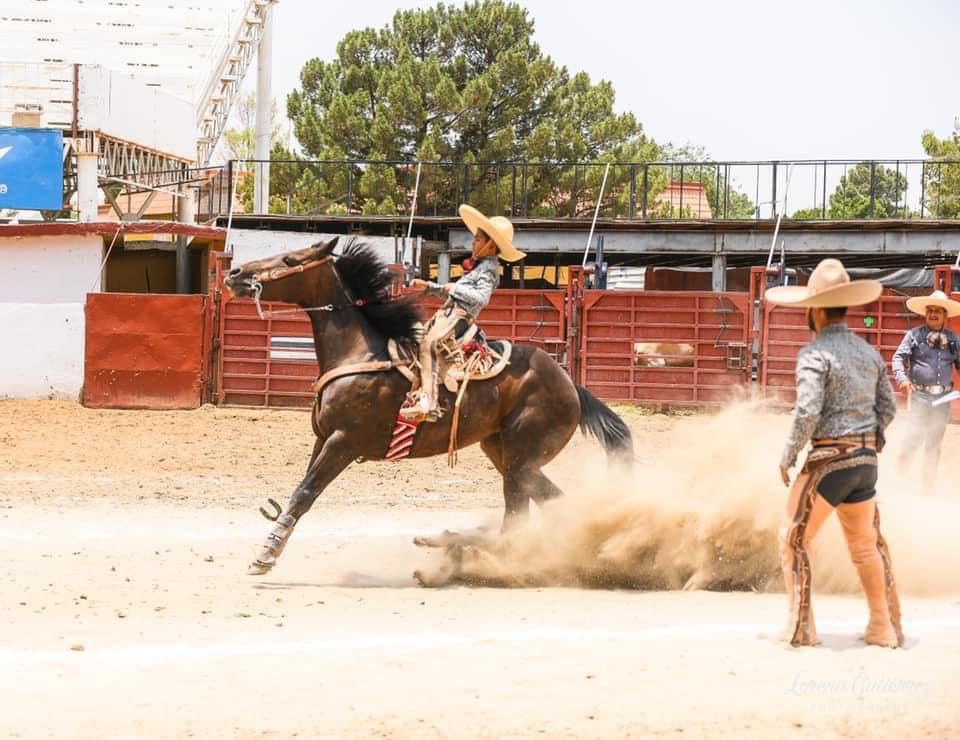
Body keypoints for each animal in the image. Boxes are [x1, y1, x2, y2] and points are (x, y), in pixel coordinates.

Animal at [221, 237, 632, 572]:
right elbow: (301, 490)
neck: (359, 353)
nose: (236, 273)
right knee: (539, 505)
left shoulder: (342, 442)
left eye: (290, 259)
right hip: (504, 453)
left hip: (521, 458)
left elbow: (305, 493)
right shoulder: (323, 439)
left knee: (529, 508)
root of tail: (568, 383)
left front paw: (266, 555)